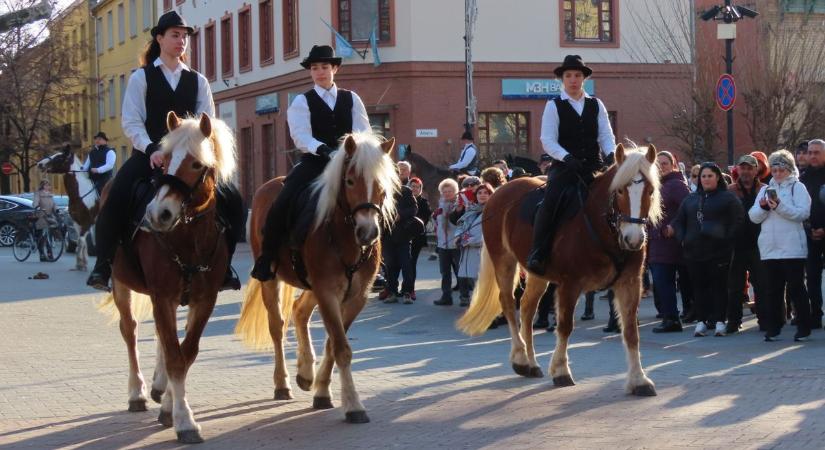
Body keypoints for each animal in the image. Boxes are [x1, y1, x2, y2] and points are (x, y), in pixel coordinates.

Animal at [99, 112, 238, 442]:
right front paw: (184, 420)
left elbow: (186, 353)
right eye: (163, 163)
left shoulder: (204, 300)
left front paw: (170, 408)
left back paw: (160, 389)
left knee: (163, 338)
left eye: (197, 164)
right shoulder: (162, 296)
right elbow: (176, 356)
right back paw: (137, 393)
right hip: (121, 286)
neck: (188, 238)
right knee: (131, 331)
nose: (157, 214)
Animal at [235, 132, 400, 424]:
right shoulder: (327, 292)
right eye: (350, 180)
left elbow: (334, 344)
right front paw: (354, 405)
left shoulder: (354, 298)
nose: (368, 232)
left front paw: (322, 390)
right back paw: (283, 384)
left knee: (299, 311)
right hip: (272, 280)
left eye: (382, 184)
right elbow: (341, 347)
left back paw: (305, 373)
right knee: (277, 326)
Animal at [458, 146, 664, 396]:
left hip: (536, 274)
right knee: (508, 303)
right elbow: (565, 326)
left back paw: (531, 363)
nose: (633, 239)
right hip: (504, 261)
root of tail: (499, 192)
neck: (602, 227)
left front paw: (639, 380)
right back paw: (520, 359)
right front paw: (560, 370)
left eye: (650, 191)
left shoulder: (630, 283)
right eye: (621, 190)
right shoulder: (570, 283)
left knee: (526, 308)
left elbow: (631, 332)